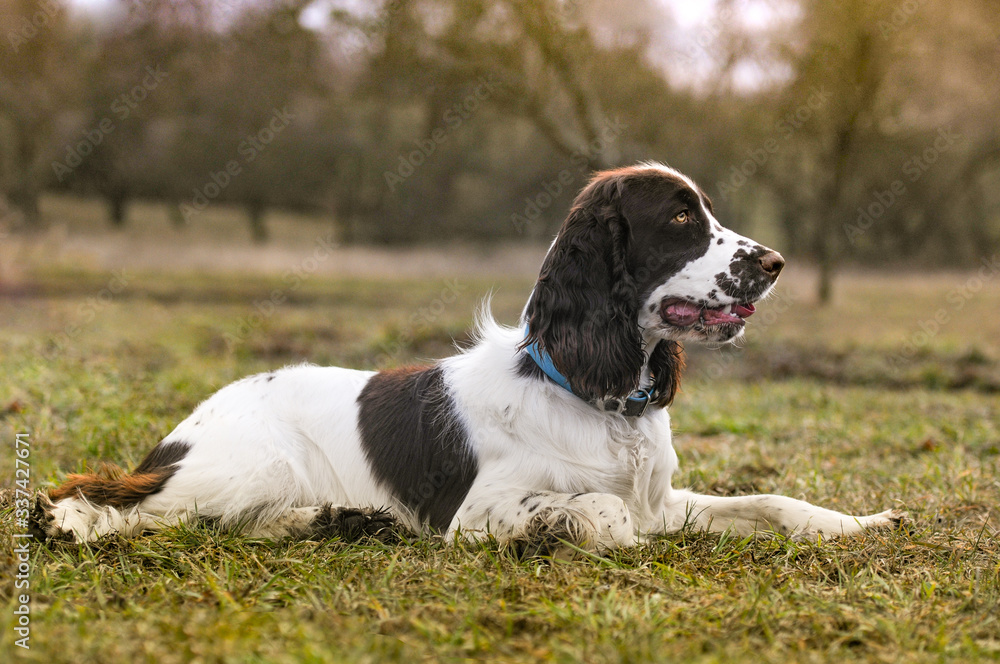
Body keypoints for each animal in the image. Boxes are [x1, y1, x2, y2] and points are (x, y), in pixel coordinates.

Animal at [32, 162, 904, 551]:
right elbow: (603, 512)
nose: (778, 261)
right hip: (241, 466)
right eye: (683, 219)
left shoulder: (666, 496)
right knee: (114, 502)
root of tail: (182, 430)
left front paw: (862, 520)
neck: (593, 393)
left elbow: (771, 502)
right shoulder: (478, 512)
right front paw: (584, 533)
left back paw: (336, 516)